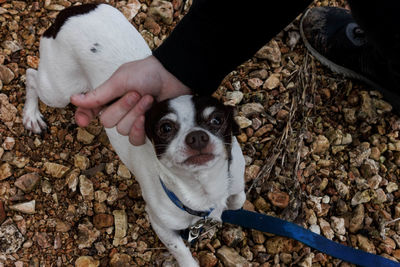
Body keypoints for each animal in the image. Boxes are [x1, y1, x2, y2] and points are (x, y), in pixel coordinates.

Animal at [23, 3, 245, 266]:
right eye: (165, 128)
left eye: (217, 120)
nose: (197, 137)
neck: (203, 190)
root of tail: (68, 12)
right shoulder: (162, 225)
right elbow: (183, 254)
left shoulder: (237, 178)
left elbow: (238, 198)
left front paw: (225, 209)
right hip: (58, 91)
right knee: (31, 76)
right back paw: (31, 115)